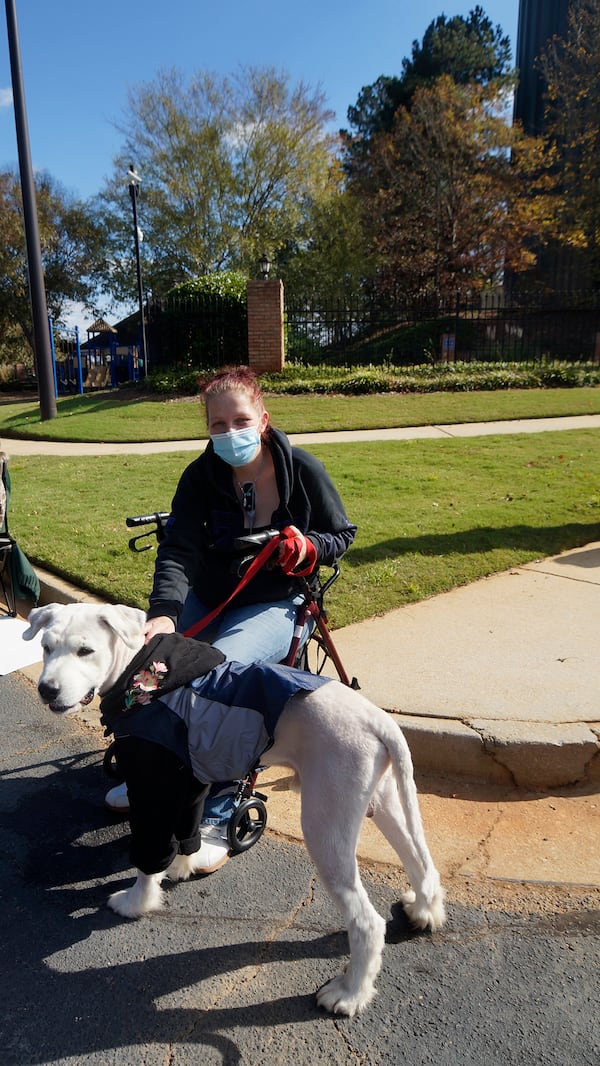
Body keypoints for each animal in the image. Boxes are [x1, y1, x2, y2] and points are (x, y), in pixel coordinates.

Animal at [23, 601, 445, 1014]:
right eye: (46, 647)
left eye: (85, 650)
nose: (47, 690)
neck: (142, 675)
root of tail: (378, 720)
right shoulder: (190, 785)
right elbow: (187, 832)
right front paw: (183, 867)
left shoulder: (153, 794)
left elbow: (149, 857)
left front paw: (135, 902)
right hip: (384, 801)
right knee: (421, 864)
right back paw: (423, 911)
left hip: (327, 825)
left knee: (367, 921)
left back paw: (349, 994)